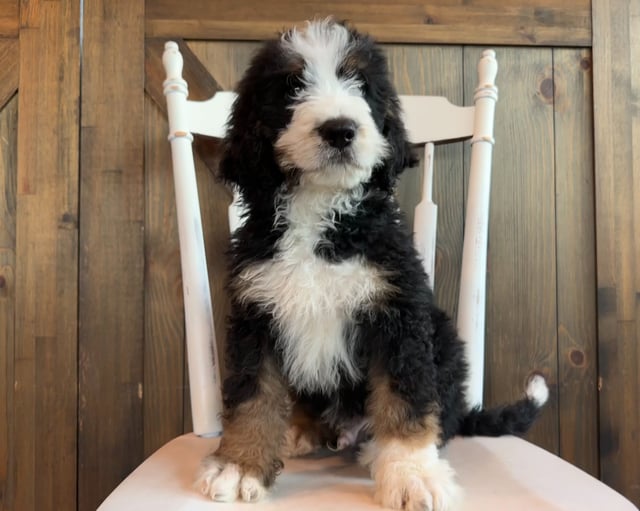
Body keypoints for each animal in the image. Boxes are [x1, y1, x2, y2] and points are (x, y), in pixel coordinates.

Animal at [198, 19, 548, 511]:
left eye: (360, 84)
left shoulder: (398, 312)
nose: (340, 130)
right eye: (292, 86)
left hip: (443, 338)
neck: (321, 214)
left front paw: (411, 474)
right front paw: (240, 464)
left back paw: (376, 447)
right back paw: (303, 430)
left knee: (440, 413)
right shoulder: (256, 313)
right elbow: (253, 395)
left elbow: (404, 397)